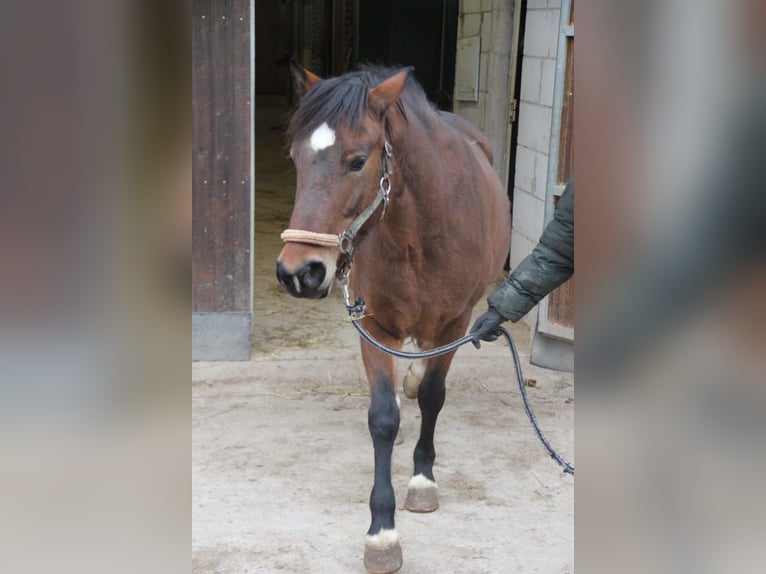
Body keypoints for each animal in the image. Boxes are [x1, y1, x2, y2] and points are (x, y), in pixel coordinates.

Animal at [276, 63, 510, 574]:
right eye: (296, 159)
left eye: (357, 161)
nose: (298, 272)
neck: (416, 235)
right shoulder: (374, 325)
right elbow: (382, 418)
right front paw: (381, 534)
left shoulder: (456, 323)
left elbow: (435, 397)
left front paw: (422, 481)